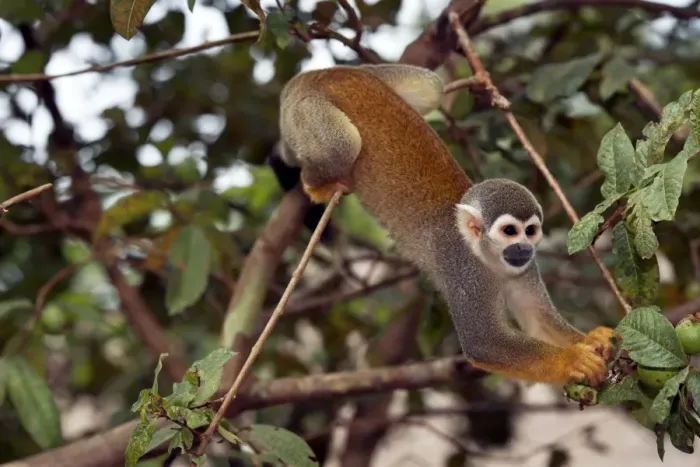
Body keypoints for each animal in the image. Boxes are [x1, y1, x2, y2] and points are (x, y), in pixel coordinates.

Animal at [277, 63, 615, 387]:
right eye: (509, 231)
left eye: (530, 231)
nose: (523, 248)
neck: (486, 258)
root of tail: (322, 74)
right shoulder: (463, 271)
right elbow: (485, 344)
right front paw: (573, 360)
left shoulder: (526, 269)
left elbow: (537, 321)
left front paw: (592, 340)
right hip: (307, 111)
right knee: (343, 147)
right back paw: (314, 184)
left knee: (432, 88)